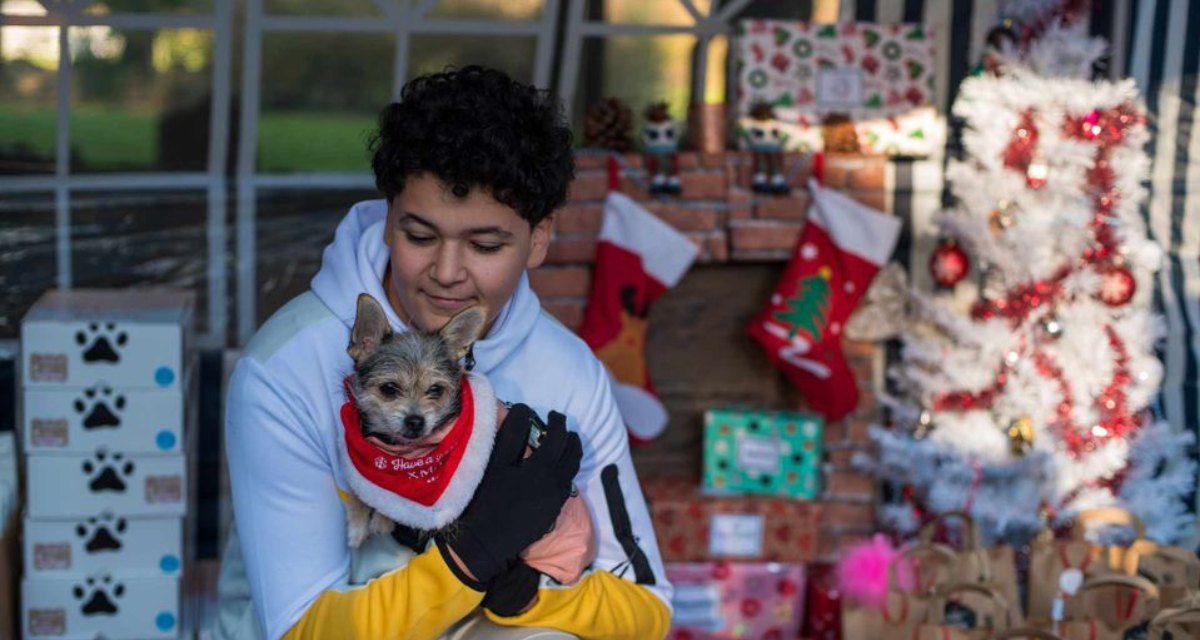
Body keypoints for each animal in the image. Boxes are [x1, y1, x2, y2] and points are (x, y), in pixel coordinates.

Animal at [340, 291, 484, 547]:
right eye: (389, 389)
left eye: (436, 390)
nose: (416, 421)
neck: (403, 453)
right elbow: (359, 490)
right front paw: (357, 524)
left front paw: (382, 520)